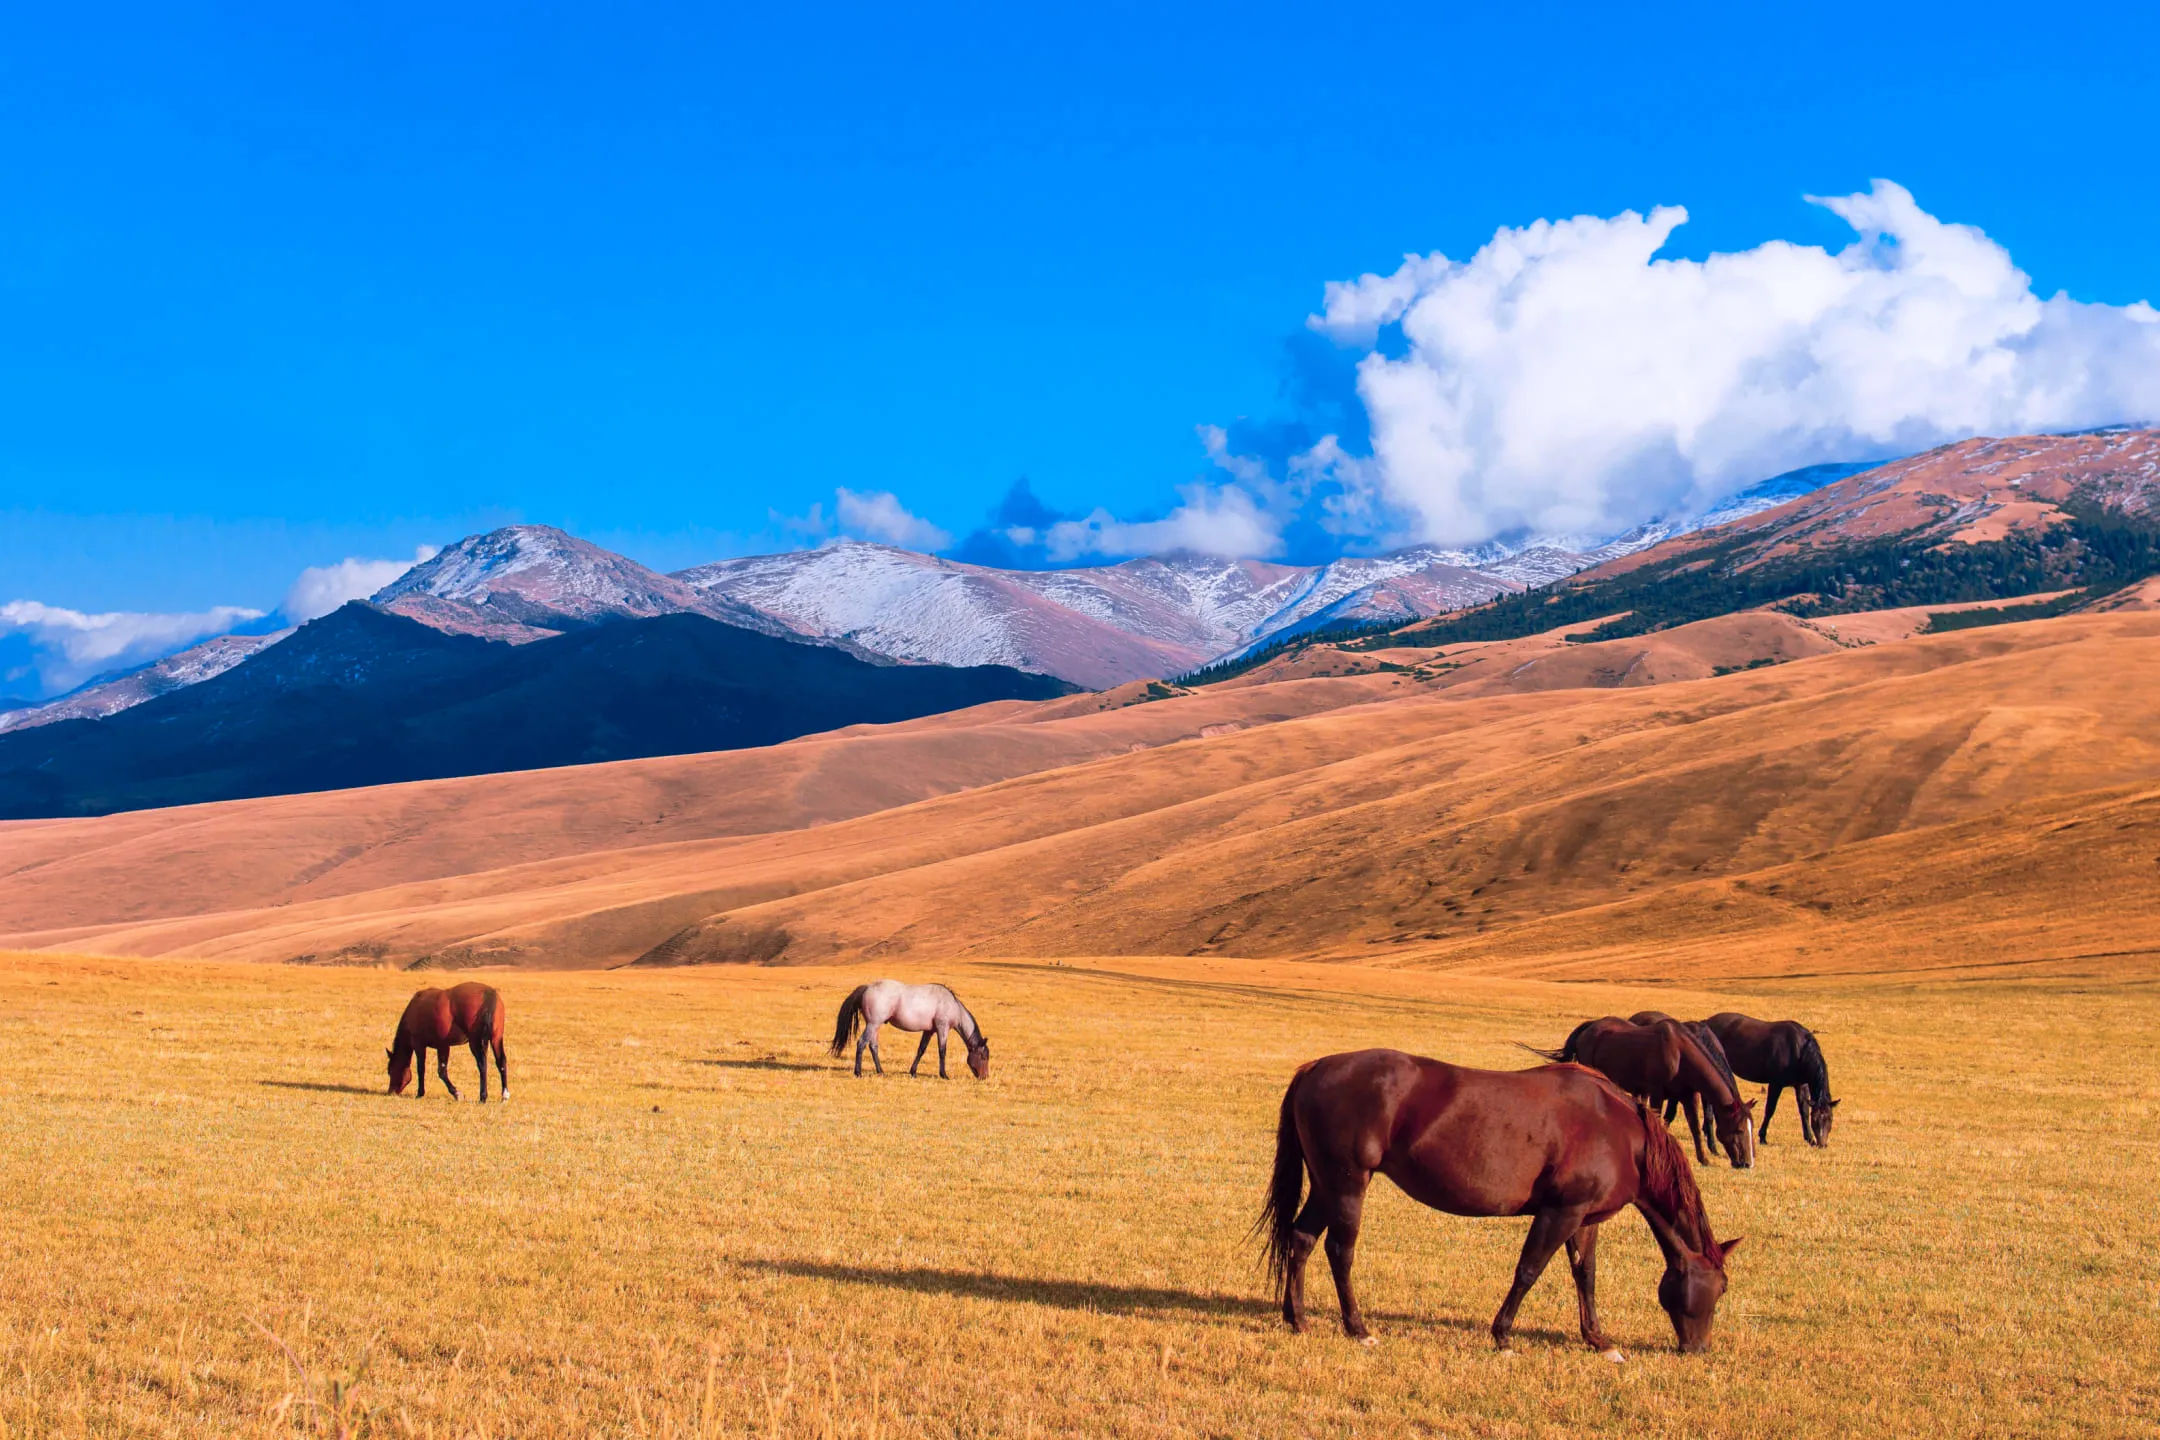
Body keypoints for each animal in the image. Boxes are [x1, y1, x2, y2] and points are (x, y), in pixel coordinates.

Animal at [830, 980, 989, 1079]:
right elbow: (942, 1051)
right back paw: (858, 1072)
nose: (985, 1077)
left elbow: (921, 1050)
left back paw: (881, 1071)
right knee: (862, 1043)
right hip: (873, 1024)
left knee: (873, 1046)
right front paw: (944, 1074)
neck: (951, 1005)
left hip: (875, 1025)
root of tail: (868, 987)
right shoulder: (942, 1028)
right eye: (983, 1057)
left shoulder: (929, 1031)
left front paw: (913, 1072)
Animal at [1259, 1050, 1740, 1356]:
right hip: (1347, 1185)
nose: (1698, 1349)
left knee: (1301, 1239)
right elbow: (1528, 1270)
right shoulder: (1560, 1213)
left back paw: (1298, 1319)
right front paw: (1503, 1336)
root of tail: (1317, 1067)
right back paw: (1358, 1329)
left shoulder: (1586, 1217)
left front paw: (1598, 1340)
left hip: (1325, 1185)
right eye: (1719, 1289)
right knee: (1339, 1252)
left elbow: (1585, 1276)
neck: (1618, 1130)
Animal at [1701, 1013, 1838, 1146]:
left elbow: (1803, 1110)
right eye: (1815, 1119)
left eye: (1830, 1118)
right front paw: (1762, 1137)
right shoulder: (1775, 1084)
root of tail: (1706, 1022)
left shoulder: (1801, 1085)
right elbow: (1770, 1109)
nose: (1822, 1144)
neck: (1799, 1050)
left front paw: (1809, 1138)